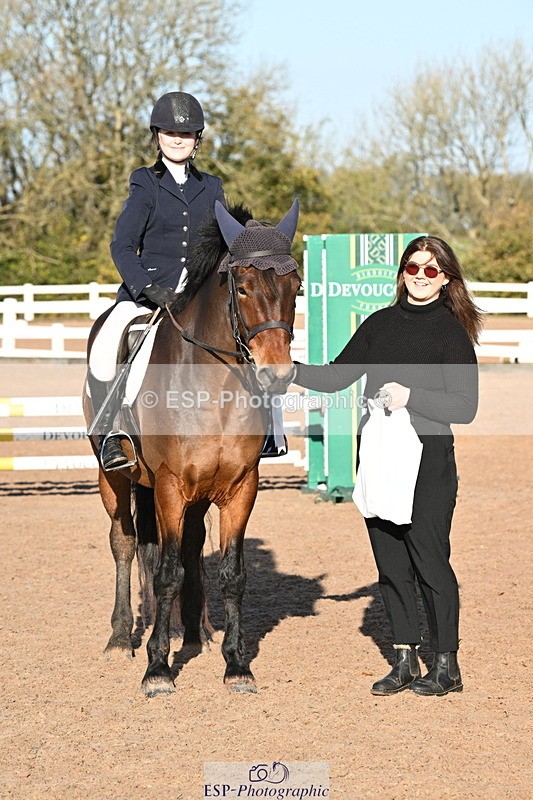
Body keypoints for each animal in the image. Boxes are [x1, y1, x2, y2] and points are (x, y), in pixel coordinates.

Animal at [84, 200, 301, 696]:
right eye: (242, 288)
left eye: (295, 287)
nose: (277, 375)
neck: (215, 388)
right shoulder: (169, 486)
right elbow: (164, 574)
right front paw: (157, 669)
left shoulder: (240, 489)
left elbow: (231, 574)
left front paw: (236, 665)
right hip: (114, 478)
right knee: (125, 543)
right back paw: (121, 638)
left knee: (189, 547)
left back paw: (195, 631)